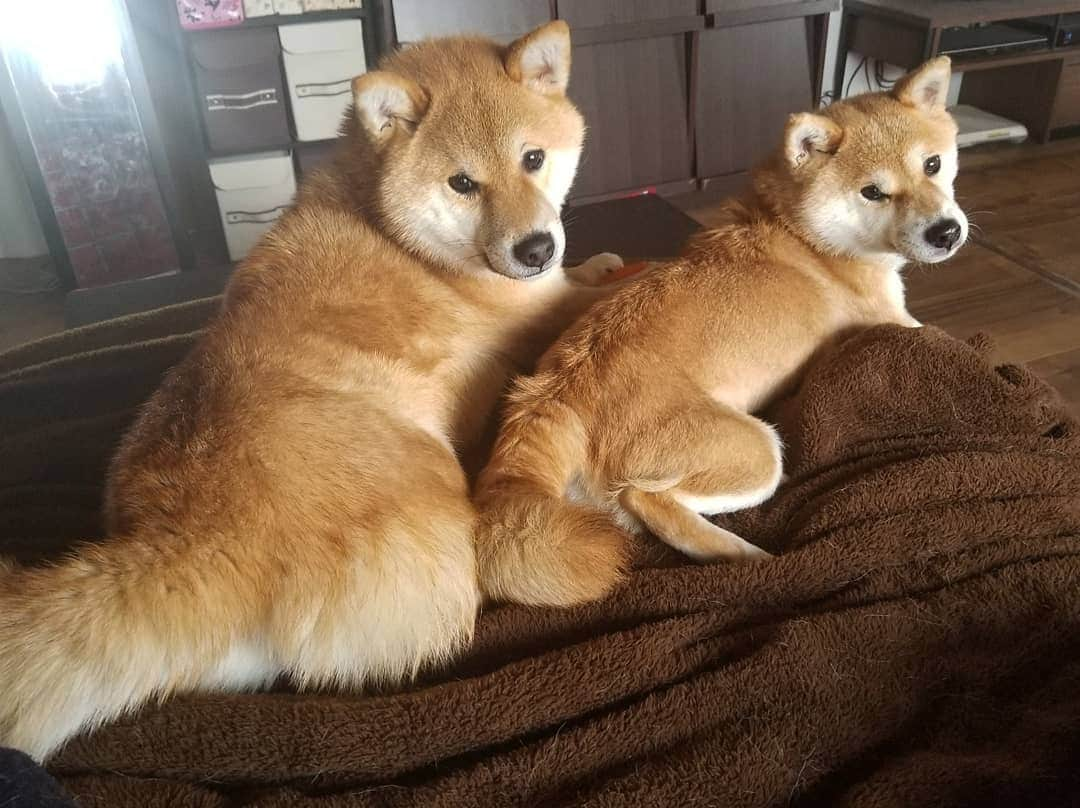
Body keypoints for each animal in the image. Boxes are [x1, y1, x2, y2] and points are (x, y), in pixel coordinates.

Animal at [2, 22, 626, 760]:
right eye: (463, 184)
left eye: (533, 158)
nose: (535, 248)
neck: (389, 224)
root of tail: (195, 539)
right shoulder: (538, 310)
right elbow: (589, 291)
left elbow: (586, 273)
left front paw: (599, 259)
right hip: (435, 484)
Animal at [477, 56, 967, 609]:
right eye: (873, 192)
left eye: (933, 165)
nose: (946, 232)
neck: (801, 230)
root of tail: (552, 396)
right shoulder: (899, 320)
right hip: (757, 452)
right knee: (646, 499)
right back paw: (749, 558)